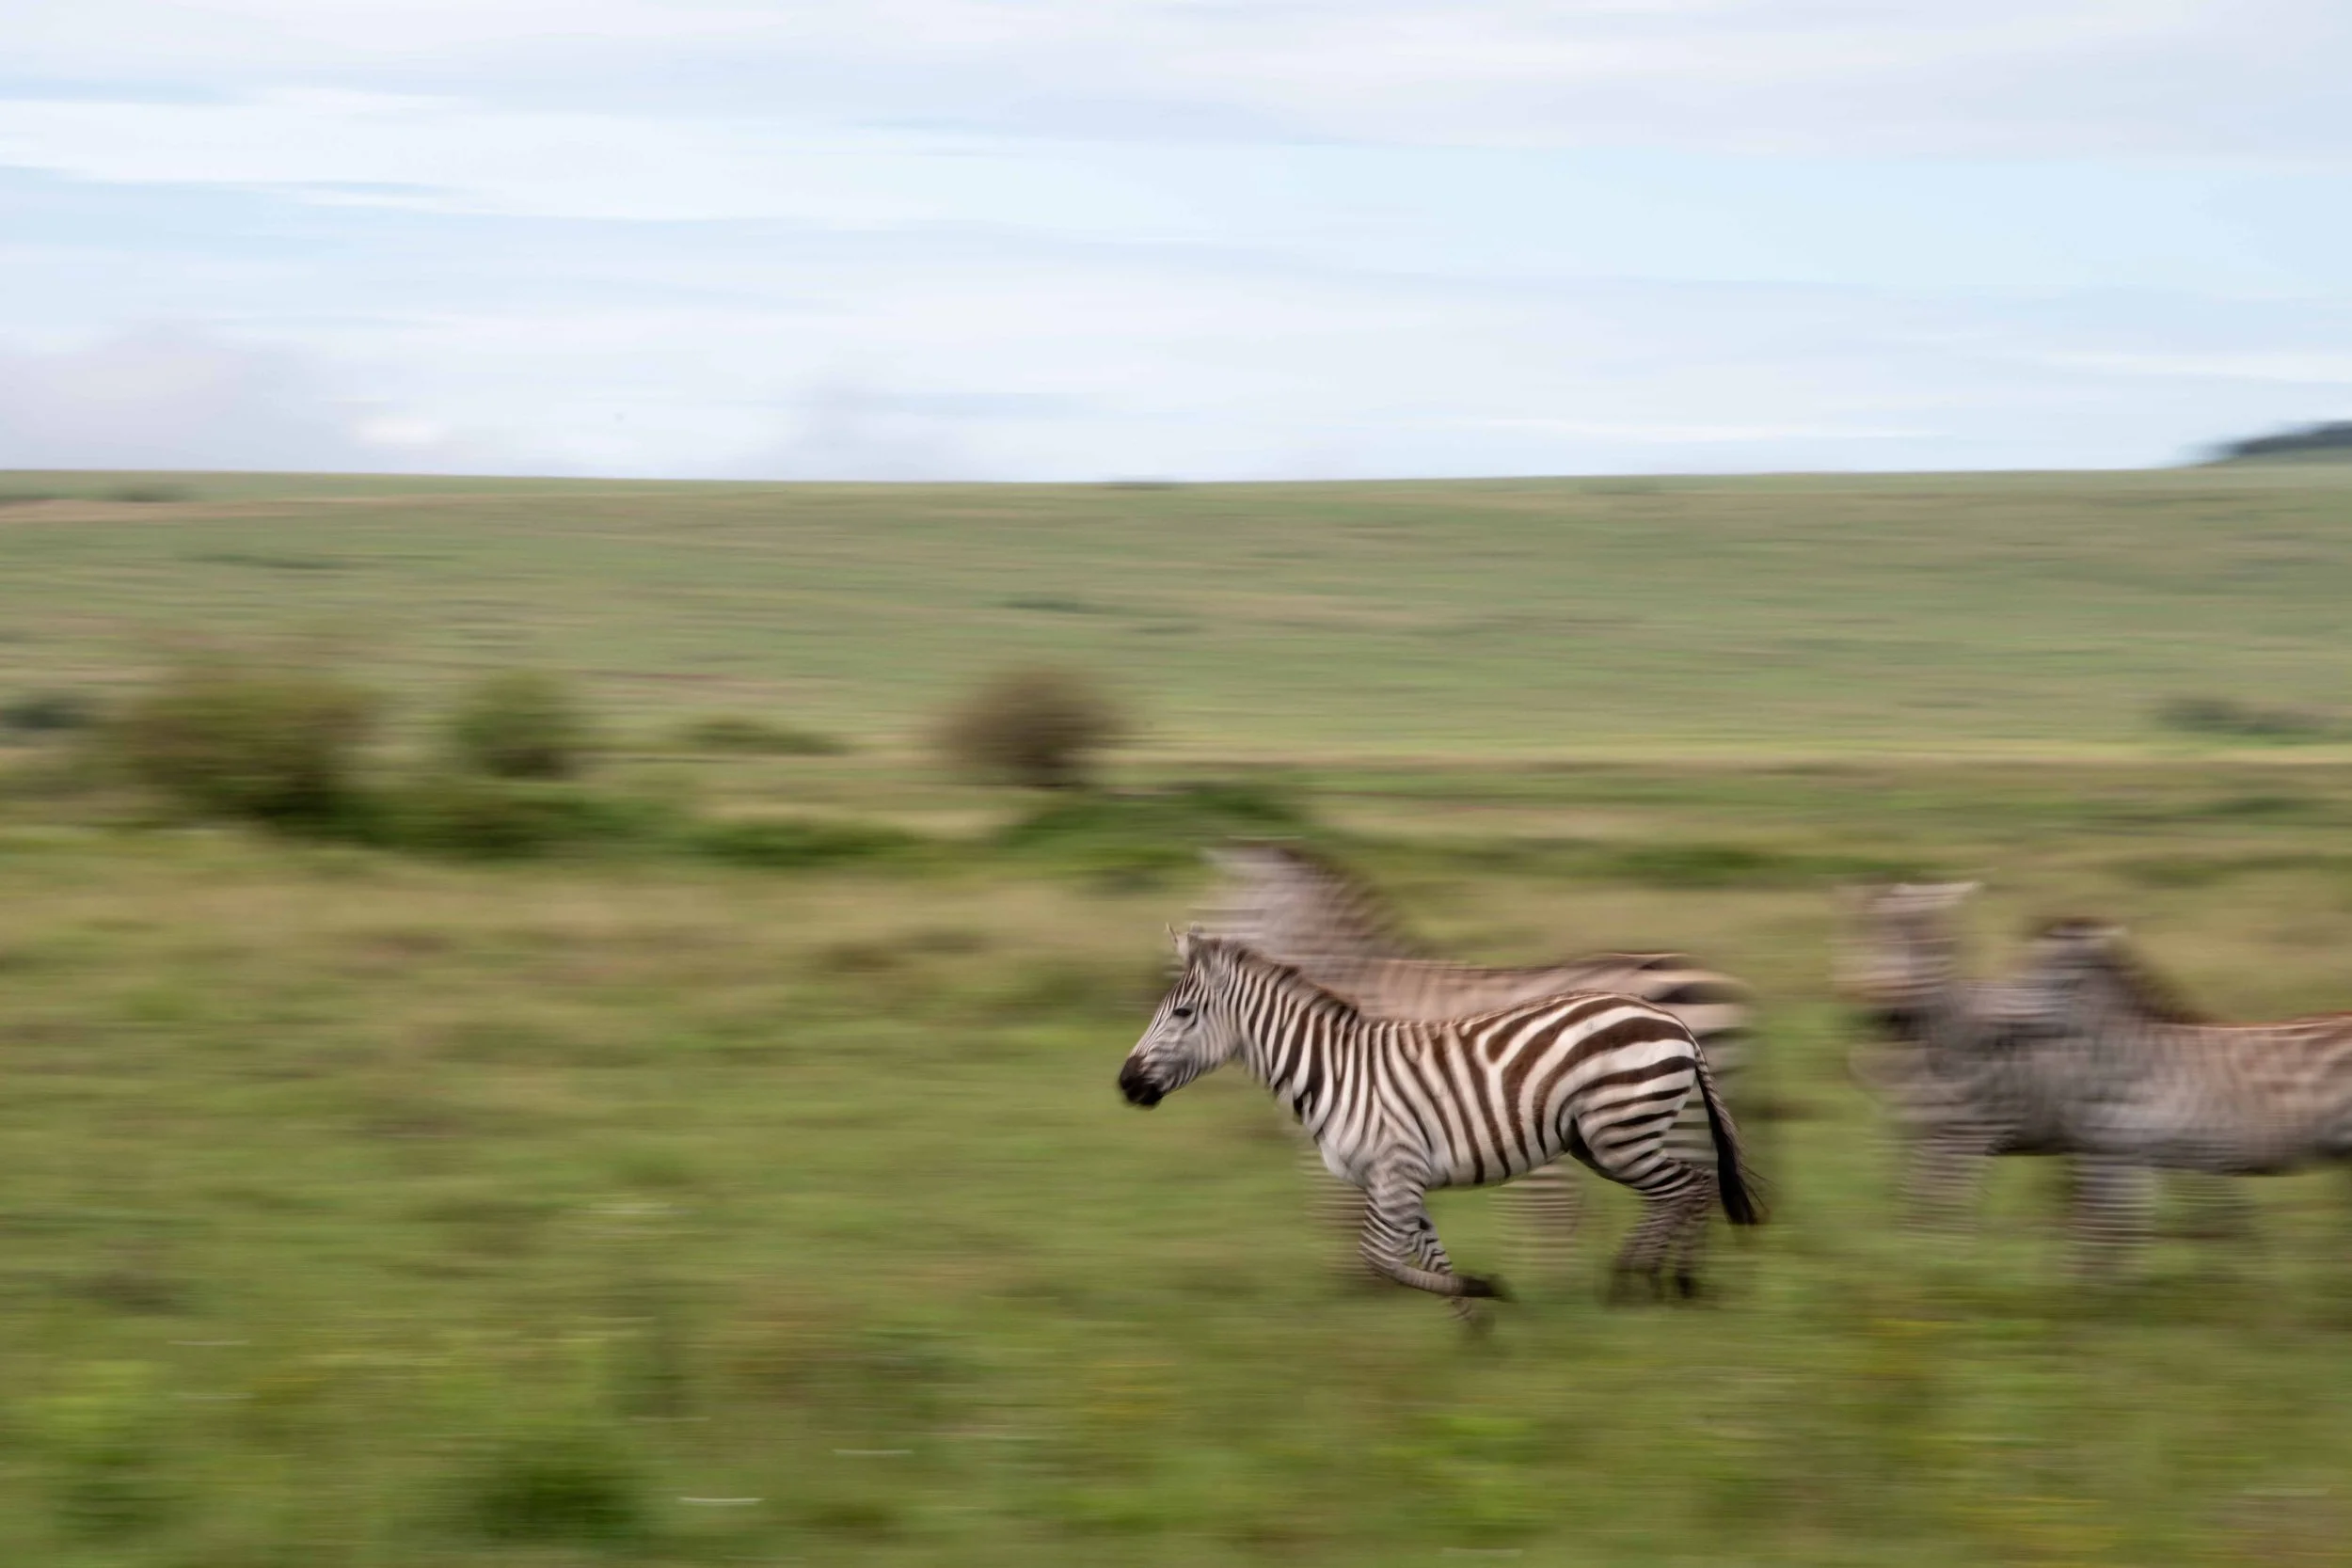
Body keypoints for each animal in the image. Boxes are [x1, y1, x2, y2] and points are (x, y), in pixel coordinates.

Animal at [1119, 929, 1762, 1315]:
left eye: (1182, 1012)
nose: (1124, 1084)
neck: (1333, 1070)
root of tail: (1672, 1021)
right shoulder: (1400, 1180)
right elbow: (1427, 1256)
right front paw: (1475, 1328)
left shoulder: (1394, 1171)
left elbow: (1379, 1259)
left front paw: (1484, 1290)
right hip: (1606, 1140)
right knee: (1685, 1189)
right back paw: (1655, 1283)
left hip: (1621, 1131)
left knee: (1689, 1186)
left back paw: (1648, 1281)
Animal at [1200, 842, 1755, 1277]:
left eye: (1228, 913)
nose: (1186, 946)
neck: (1362, 985)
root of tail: (1712, 977)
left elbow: (1343, 1202)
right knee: (1698, 1188)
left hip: (1655, 1110)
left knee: (1688, 1190)